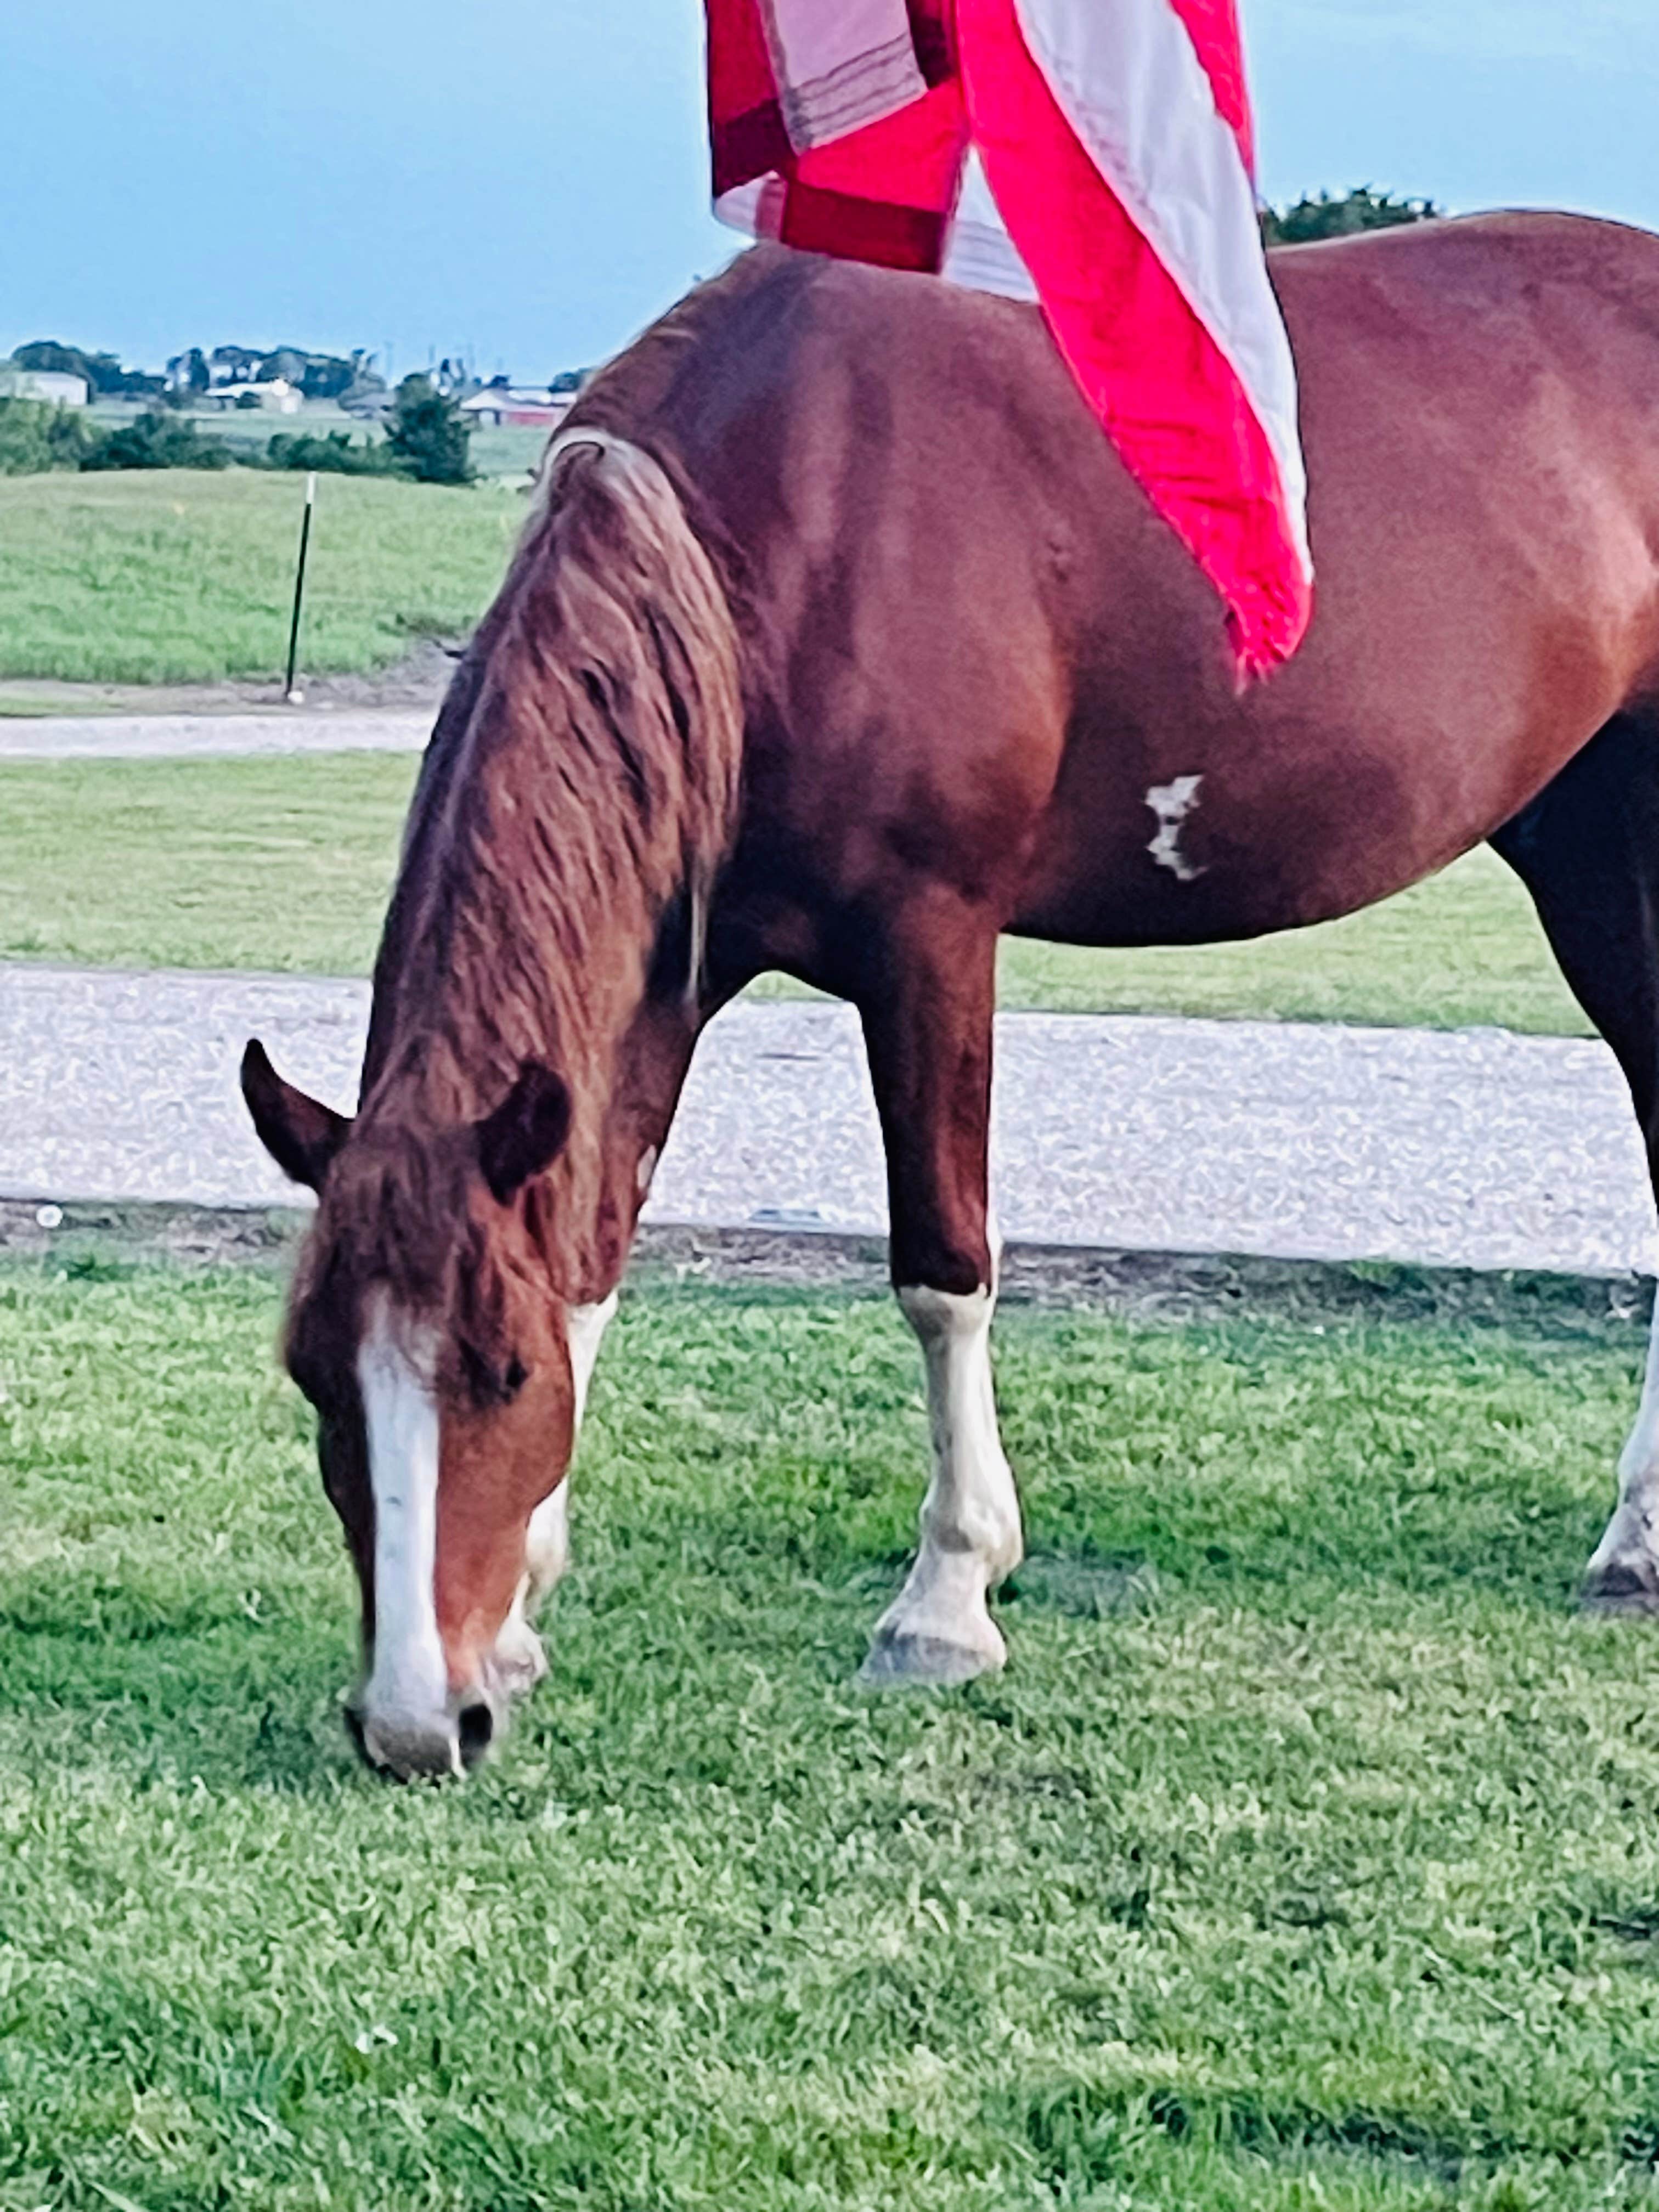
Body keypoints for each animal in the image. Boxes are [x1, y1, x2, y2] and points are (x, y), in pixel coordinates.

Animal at [243, 212, 1659, 1778]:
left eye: (495, 1377)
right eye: (317, 1373)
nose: (414, 1720)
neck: (773, 535)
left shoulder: (930, 943)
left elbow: (941, 1270)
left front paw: (947, 1599)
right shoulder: (675, 968)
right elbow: (596, 1260)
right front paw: (524, 1617)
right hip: (1586, 836)